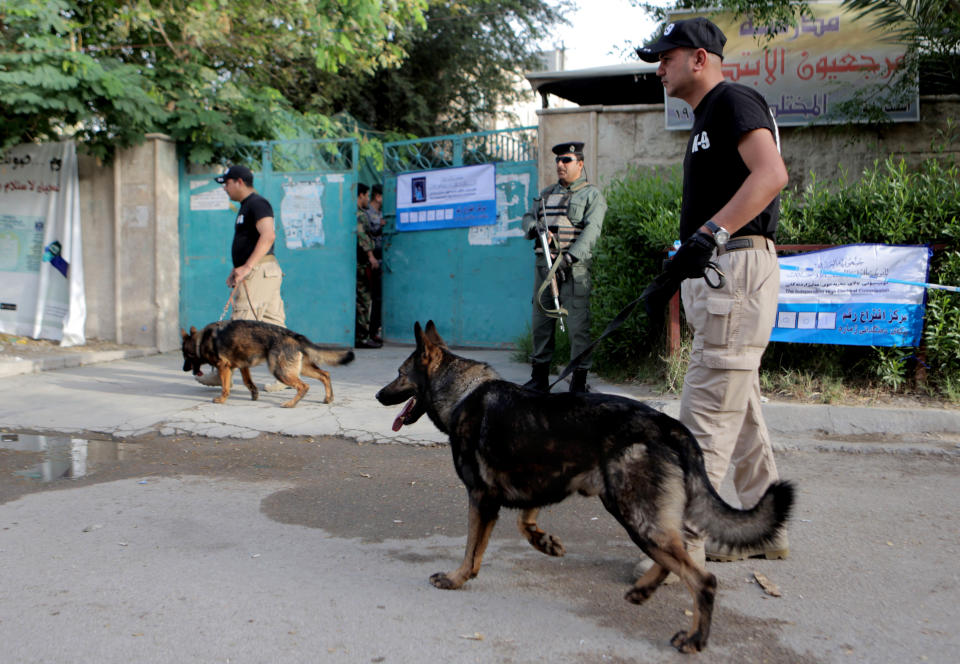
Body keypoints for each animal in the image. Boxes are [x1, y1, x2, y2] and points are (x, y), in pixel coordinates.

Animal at [182, 320, 354, 408]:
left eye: (185, 355)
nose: (183, 369)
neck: (200, 341)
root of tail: (294, 335)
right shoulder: (243, 366)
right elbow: (248, 382)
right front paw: (254, 394)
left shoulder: (223, 367)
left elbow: (225, 387)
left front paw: (222, 399)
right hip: (301, 369)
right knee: (325, 375)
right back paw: (328, 398)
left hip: (279, 370)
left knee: (304, 386)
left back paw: (291, 403)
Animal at [376, 322, 796, 652]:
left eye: (399, 372)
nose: (380, 395)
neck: (462, 391)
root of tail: (668, 425)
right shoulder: (539, 482)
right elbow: (523, 523)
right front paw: (543, 541)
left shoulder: (481, 498)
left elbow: (471, 549)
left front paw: (456, 578)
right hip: (640, 514)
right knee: (678, 554)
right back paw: (645, 590)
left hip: (633, 513)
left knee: (701, 579)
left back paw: (695, 639)